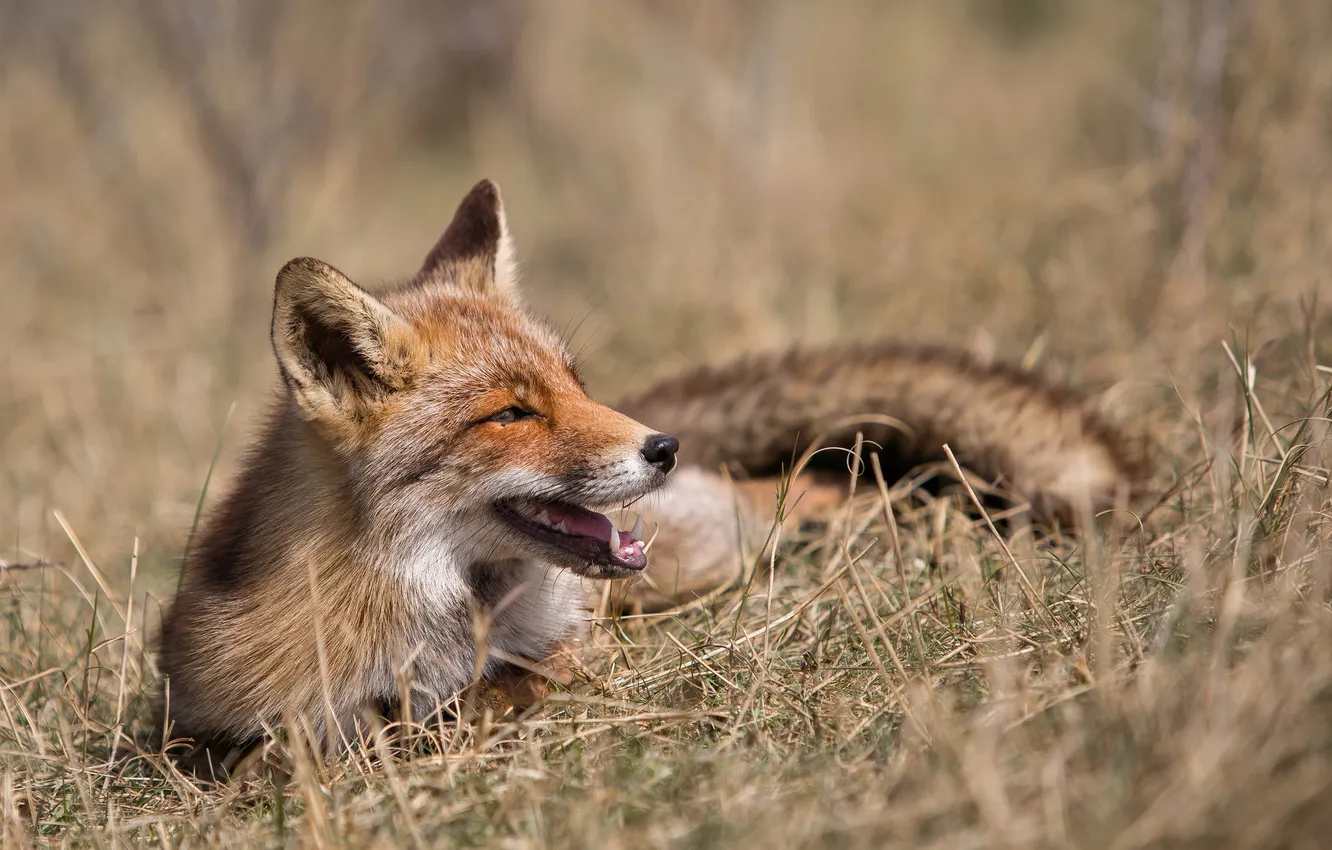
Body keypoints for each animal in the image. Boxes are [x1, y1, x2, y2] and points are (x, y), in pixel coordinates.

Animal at [155, 179, 1143, 777]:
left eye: (574, 384)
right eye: (512, 414)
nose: (659, 447)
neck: (416, 620)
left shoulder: (570, 648)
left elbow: (507, 691)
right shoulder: (214, 718)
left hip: (710, 545)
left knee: (829, 499)